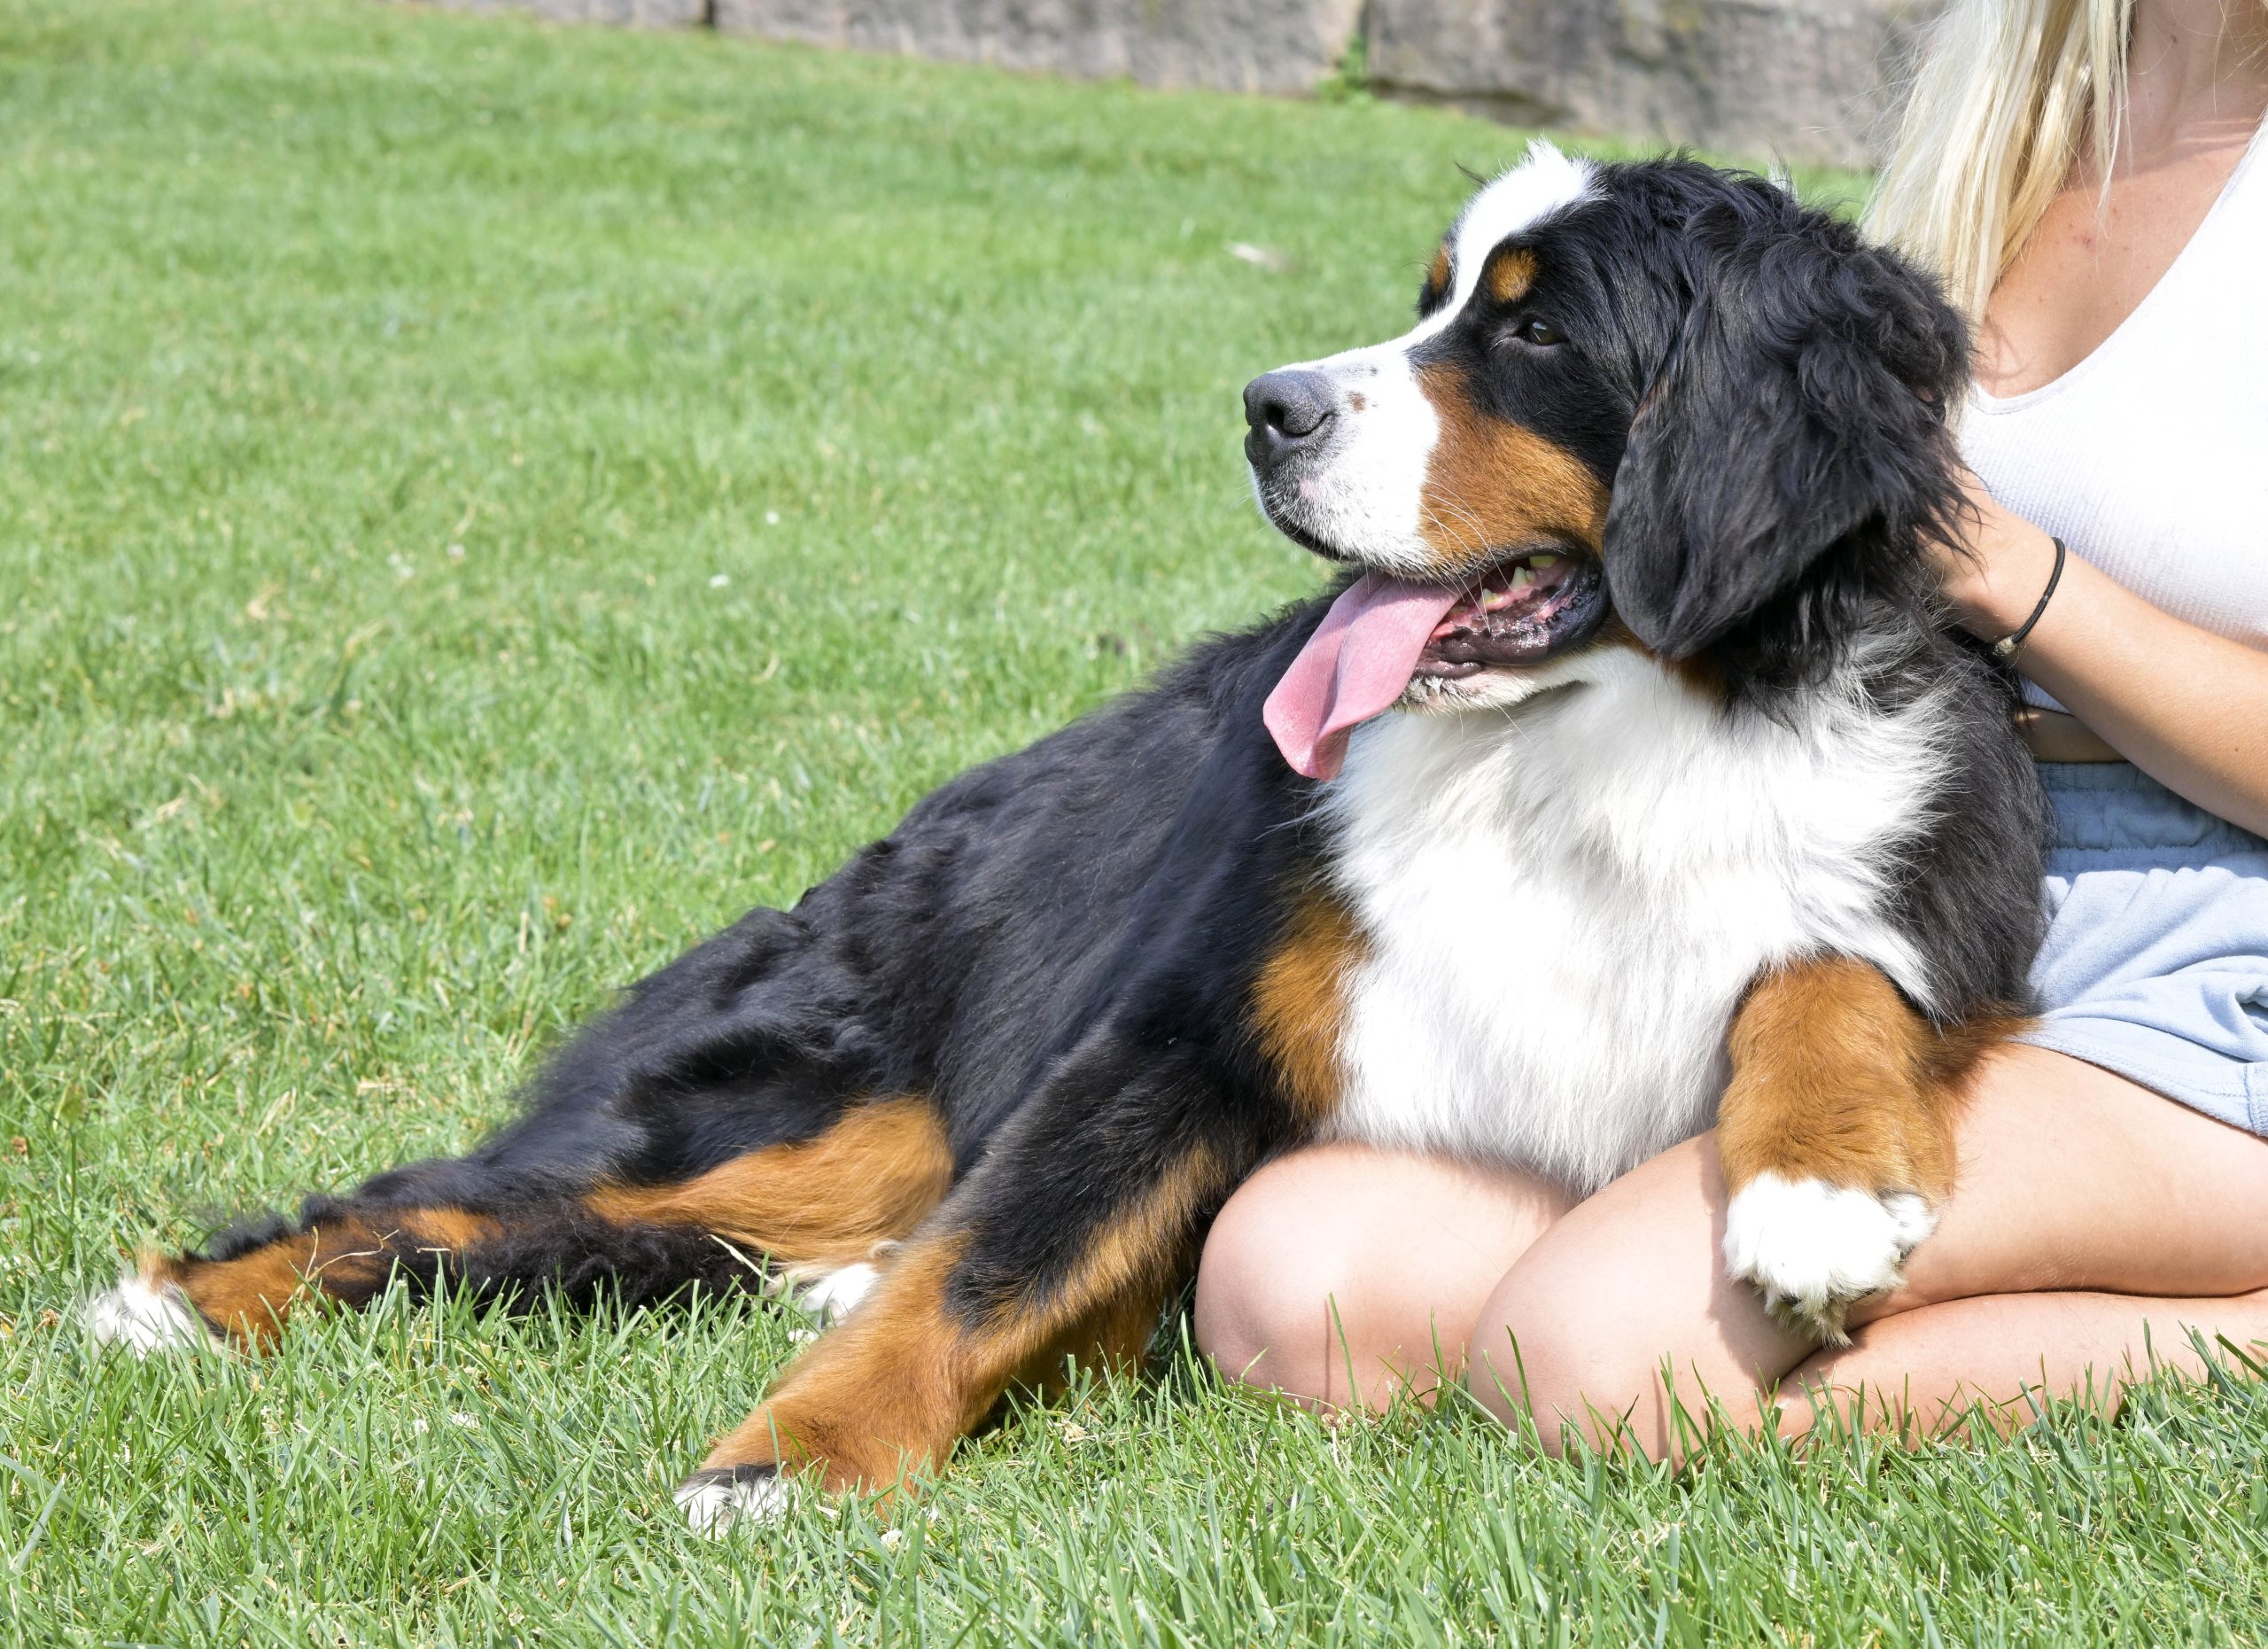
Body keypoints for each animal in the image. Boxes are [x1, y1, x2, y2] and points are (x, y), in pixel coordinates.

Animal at [90, 144, 2046, 1532]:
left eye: (1536, 328)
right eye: (1431, 301)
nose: (1266, 406)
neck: (1585, 753)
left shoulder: (1936, 856)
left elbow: (1824, 966)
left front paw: (1814, 1189)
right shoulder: (1185, 1025)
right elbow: (991, 1260)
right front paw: (785, 1465)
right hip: (805, 1118)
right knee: (445, 1212)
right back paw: (176, 1306)